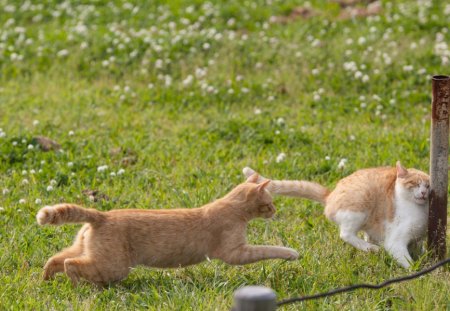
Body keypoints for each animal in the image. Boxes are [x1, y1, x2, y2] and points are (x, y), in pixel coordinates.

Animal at [243, 162, 428, 270]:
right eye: (414, 184)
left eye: (427, 185)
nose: (424, 192)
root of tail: (330, 195)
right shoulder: (395, 241)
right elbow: (407, 261)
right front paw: (417, 272)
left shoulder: (416, 239)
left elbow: (417, 249)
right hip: (359, 204)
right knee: (346, 234)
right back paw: (370, 248)